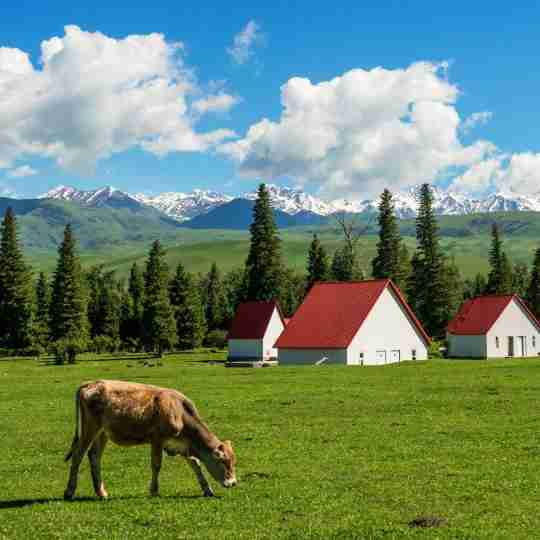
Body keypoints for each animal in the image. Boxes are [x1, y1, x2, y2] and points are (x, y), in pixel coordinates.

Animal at [63, 382, 236, 500]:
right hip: (89, 429)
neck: (179, 412)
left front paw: (207, 490)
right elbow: (156, 465)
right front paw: (154, 491)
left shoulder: (182, 444)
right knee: (78, 455)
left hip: (102, 433)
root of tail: (91, 383)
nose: (233, 483)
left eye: (233, 462)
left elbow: (196, 465)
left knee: (94, 456)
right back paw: (69, 492)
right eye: (222, 461)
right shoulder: (157, 439)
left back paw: (101, 492)